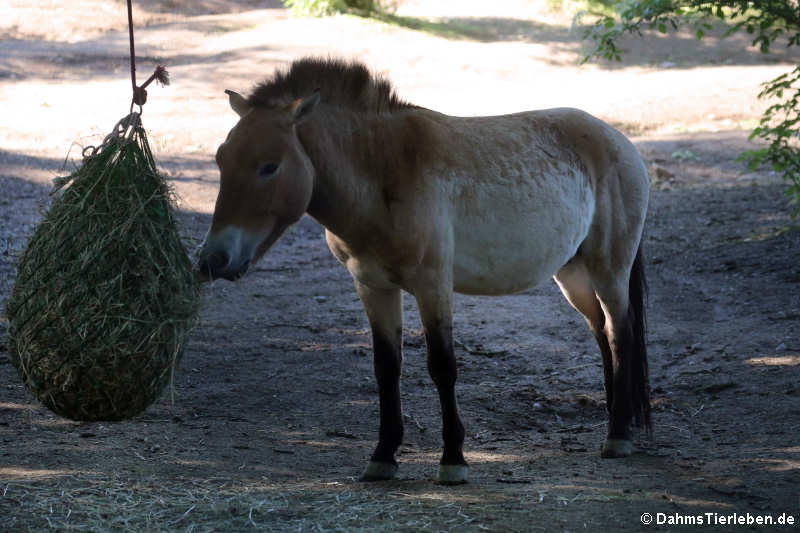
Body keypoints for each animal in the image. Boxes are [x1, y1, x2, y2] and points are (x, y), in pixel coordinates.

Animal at [198, 57, 648, 482]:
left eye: (269, 166)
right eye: (221, 159)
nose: (212, 260)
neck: (384, 173)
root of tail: (619, 142)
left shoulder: (433, 286)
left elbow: (442, 367)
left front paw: (453, 461)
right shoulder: (373, 287)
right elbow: (386, 368)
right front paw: (383, 457)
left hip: (608, 270)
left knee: (620, 333)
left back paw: (619, 437)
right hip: (572, 276)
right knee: (602, 333)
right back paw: (617, 421)